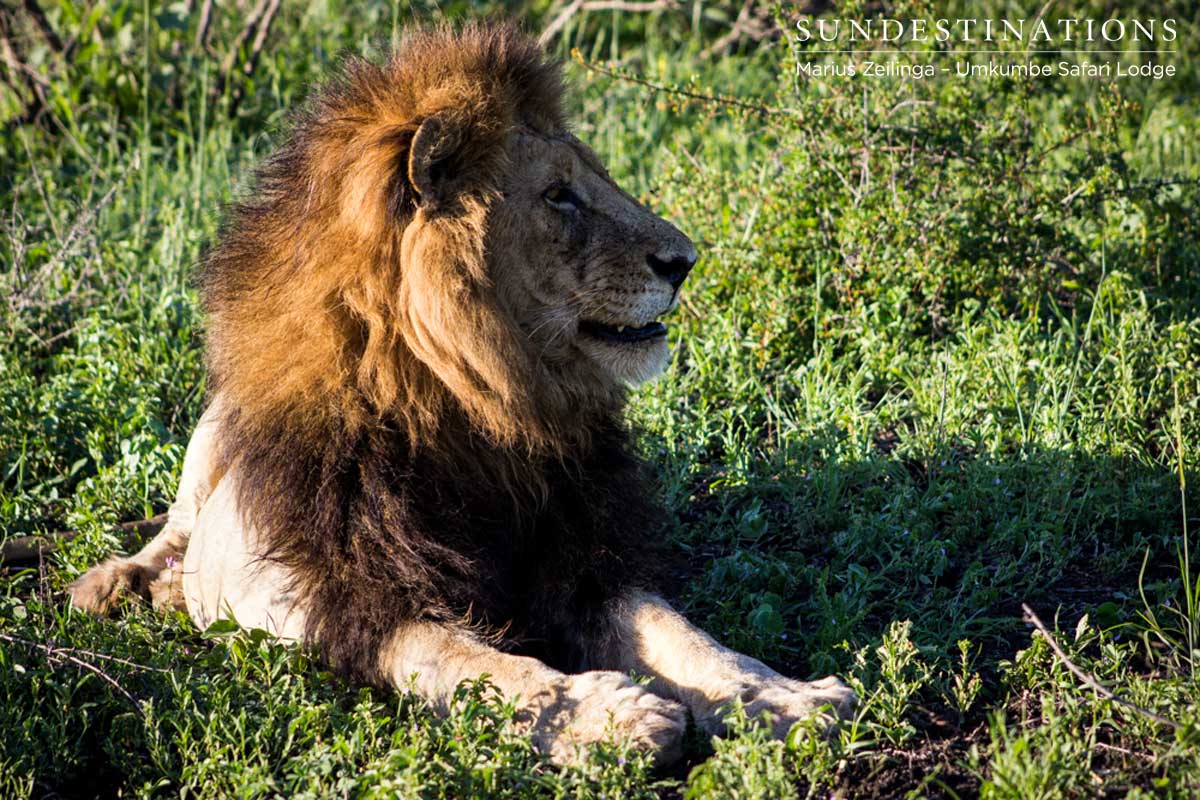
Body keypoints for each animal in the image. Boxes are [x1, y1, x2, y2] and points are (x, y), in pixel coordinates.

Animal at [68, 23, 853, 764]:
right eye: (559, 195)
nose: (685, 261)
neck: (481, 408)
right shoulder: (352, 598)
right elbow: (477, 666)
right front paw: (608, 718)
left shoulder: (584, 561)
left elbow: (682, 634)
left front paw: (786, 698)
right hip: (209, 450)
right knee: (173, 533)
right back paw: (119, 587)